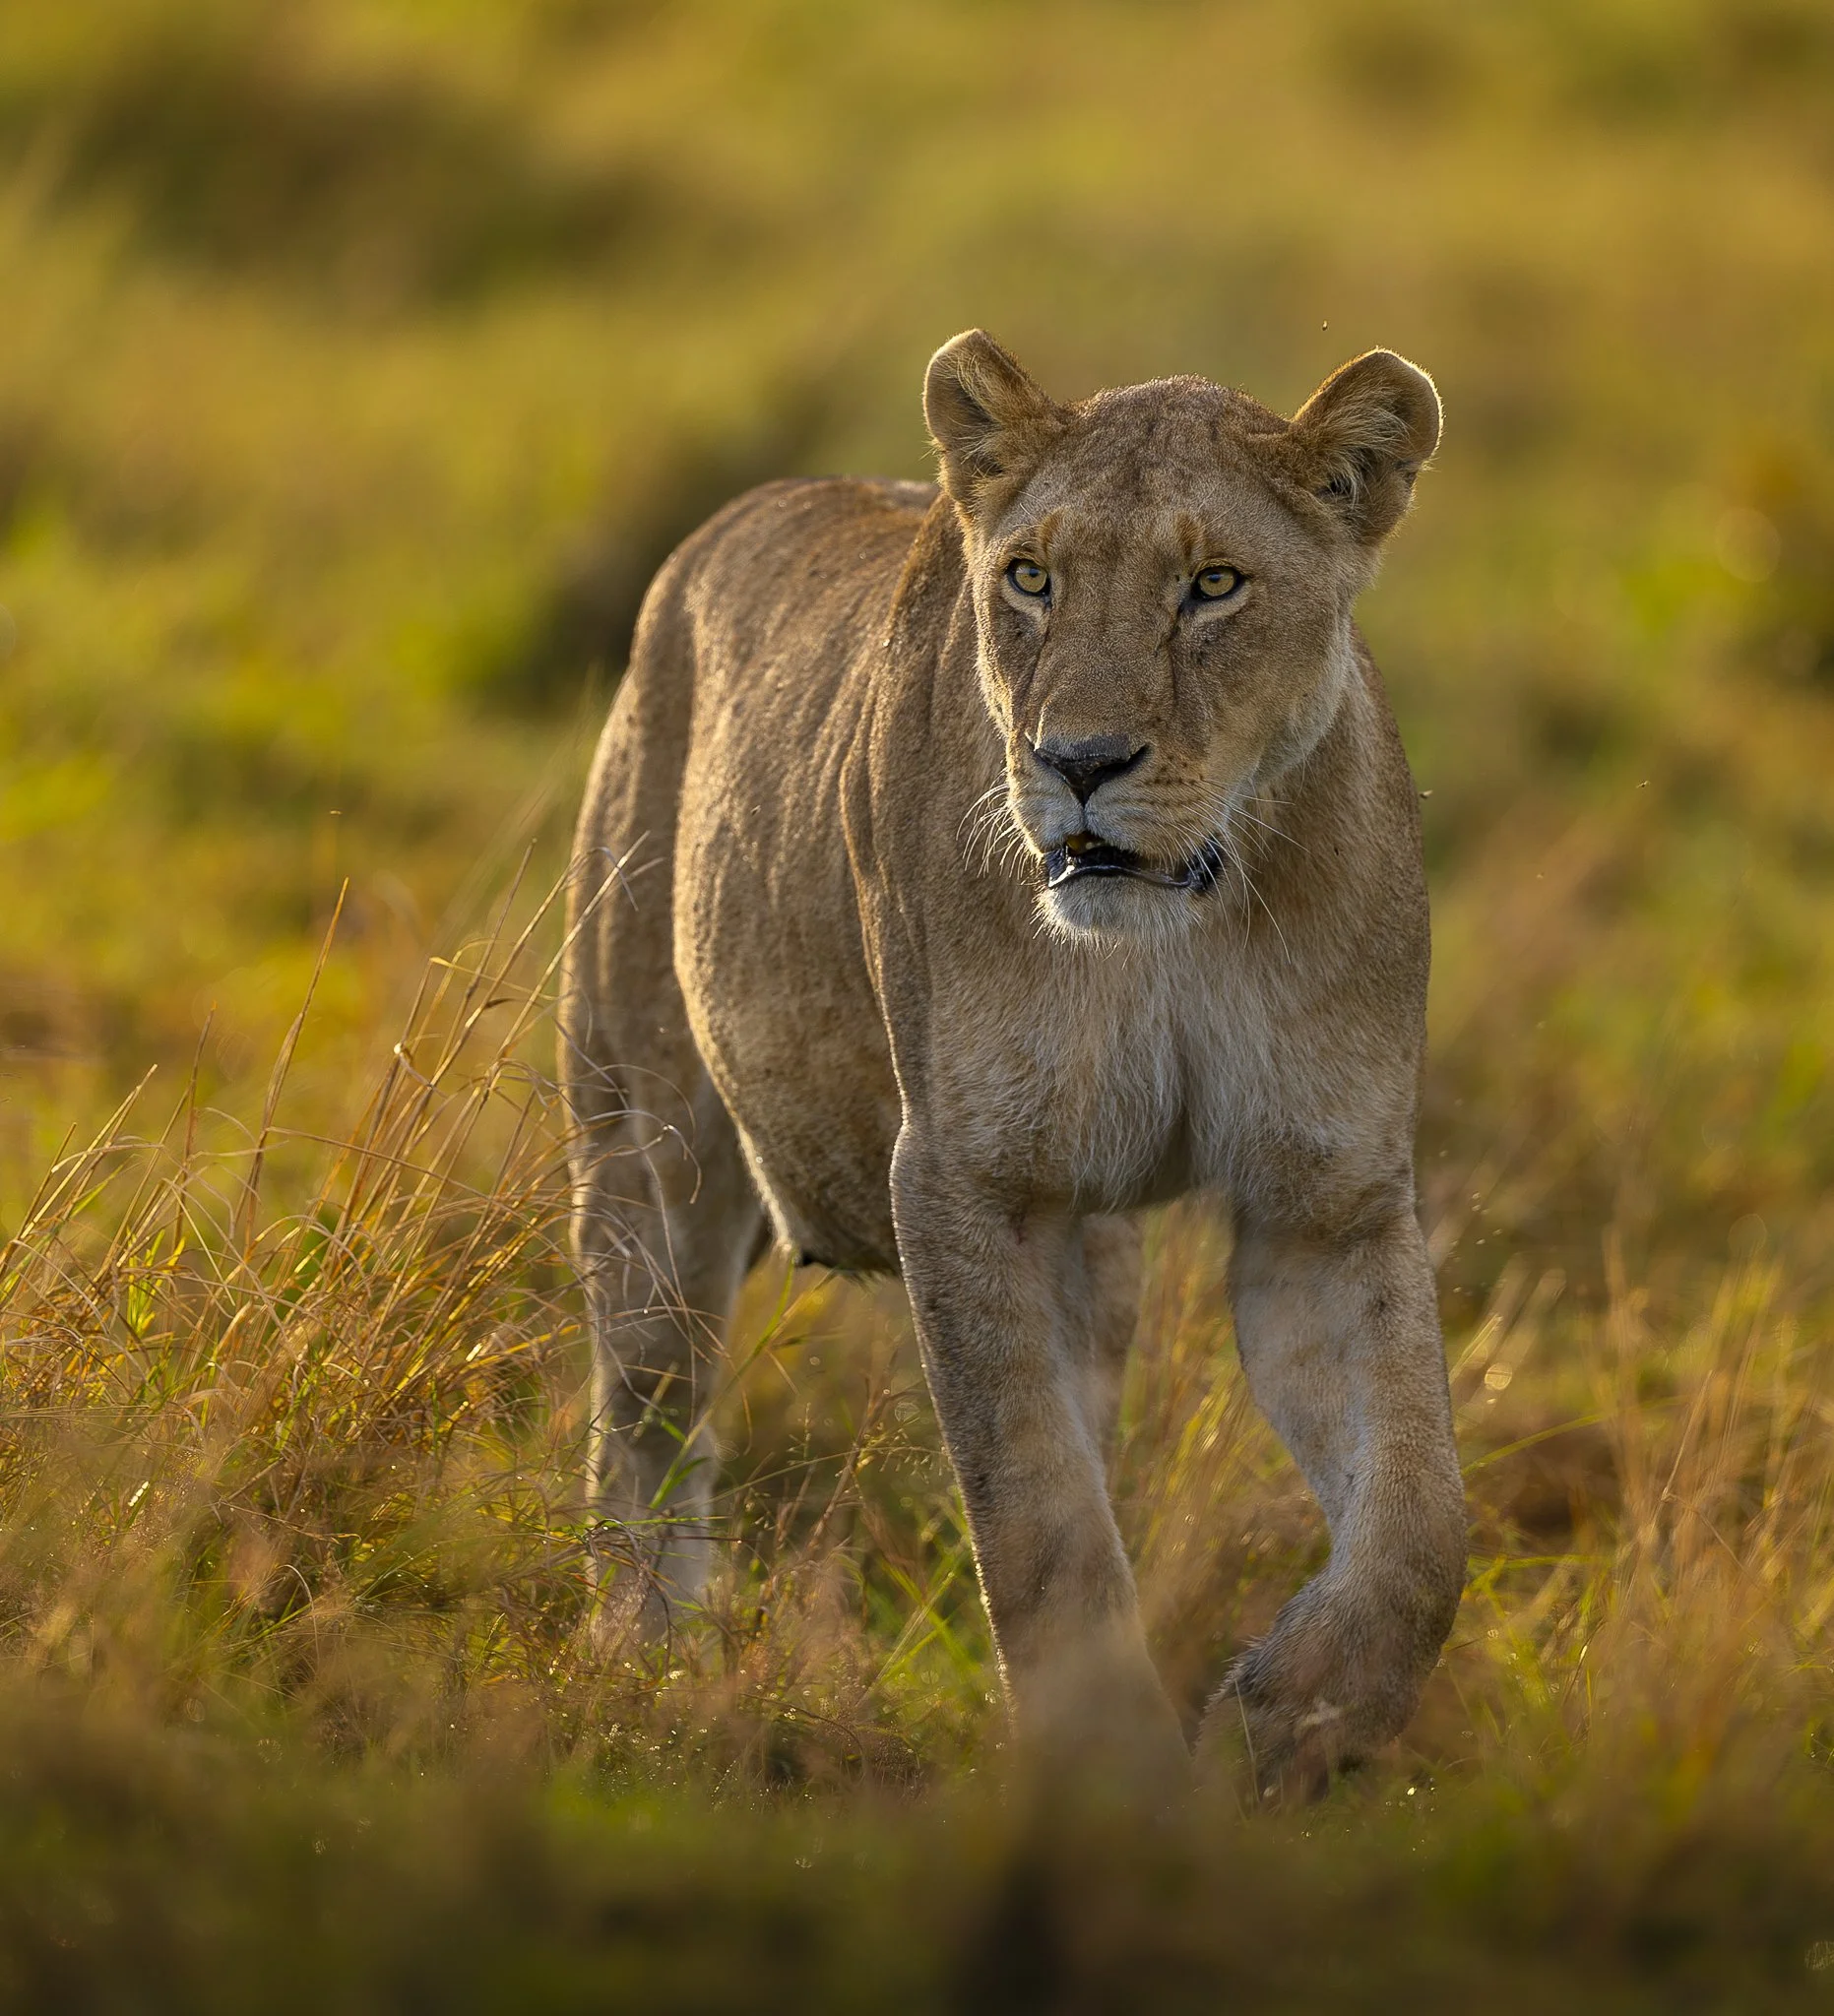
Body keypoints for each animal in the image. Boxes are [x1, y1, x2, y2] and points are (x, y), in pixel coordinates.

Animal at [559, 330, 1466, 1795]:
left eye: (1213, 584)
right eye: (1029, 578)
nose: (1077, 762)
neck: (1182, 926)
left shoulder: (1323, 1201)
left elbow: (1420, 1526)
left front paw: (1285, 1721)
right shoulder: (964, 1176)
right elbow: (1037, 1516)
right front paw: (1112, 1774)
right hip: (648, 1141)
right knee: (646, 1410)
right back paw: (652, 1666)